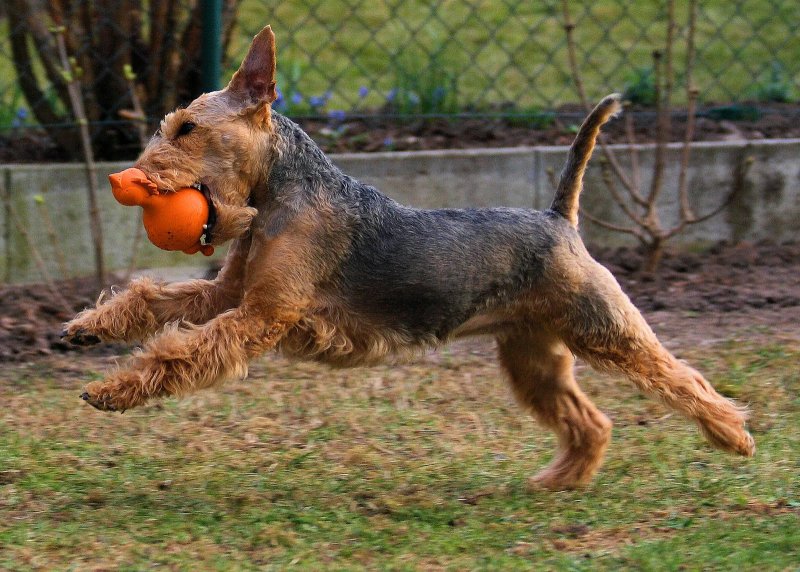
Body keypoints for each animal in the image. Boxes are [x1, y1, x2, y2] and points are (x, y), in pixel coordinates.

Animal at [64, 26, 756, 490]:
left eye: (186, 128)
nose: (128, 179)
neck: (284, 192)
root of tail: (559, 219)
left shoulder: (262, 314)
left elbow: (177, 352)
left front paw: (112, 389)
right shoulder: (228, 296)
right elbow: (152, 301)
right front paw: (86, 329)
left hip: (604, 328)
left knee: (683, 380)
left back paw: (735, 436)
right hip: (533, 356)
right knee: (591, 421)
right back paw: (557, 482)